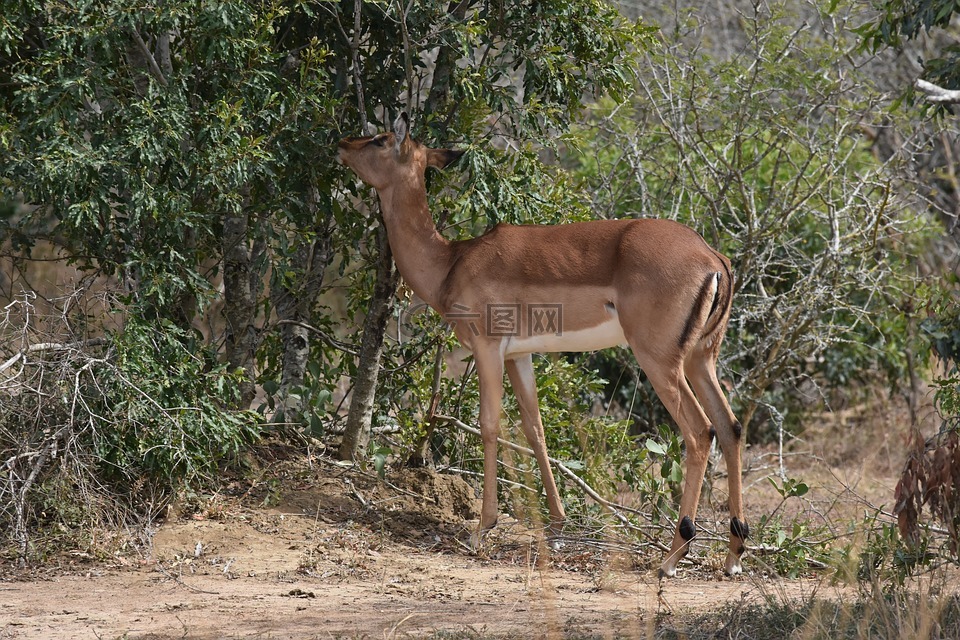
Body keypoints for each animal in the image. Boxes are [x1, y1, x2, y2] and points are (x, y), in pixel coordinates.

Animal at [338, 112, 752, 576]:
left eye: (379, 139)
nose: (341, 145)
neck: (450, 263)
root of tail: (713, 258)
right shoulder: (521, 354)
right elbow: (535, 428)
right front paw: (556, 525)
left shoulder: (487, 348)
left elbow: (490, 424)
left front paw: (482, 528)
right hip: (701, 358)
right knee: (730, 426)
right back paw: (734, 553)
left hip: (660, 361)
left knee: (700, 432)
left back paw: (672, 555)